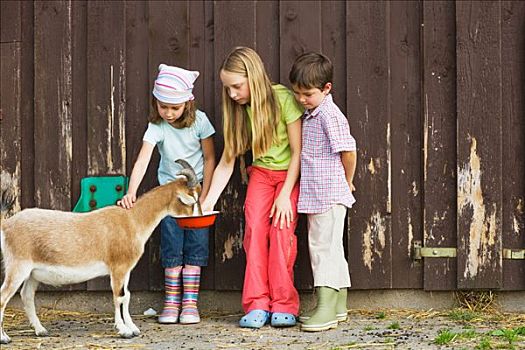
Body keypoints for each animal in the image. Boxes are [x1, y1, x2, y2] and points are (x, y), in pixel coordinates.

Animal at [0, 160, 201, 344]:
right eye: (192, 200)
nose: (199, 218)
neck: (132, 219)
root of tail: (7, 224)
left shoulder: (126, 270)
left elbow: (127, 296)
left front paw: (133, 328)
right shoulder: (118, 268)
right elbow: (118, 297)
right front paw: (124, 331)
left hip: (32, 273)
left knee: (26, 295)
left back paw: (40, 330)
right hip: (18, 266)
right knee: (3, 296)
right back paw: (4, 337)